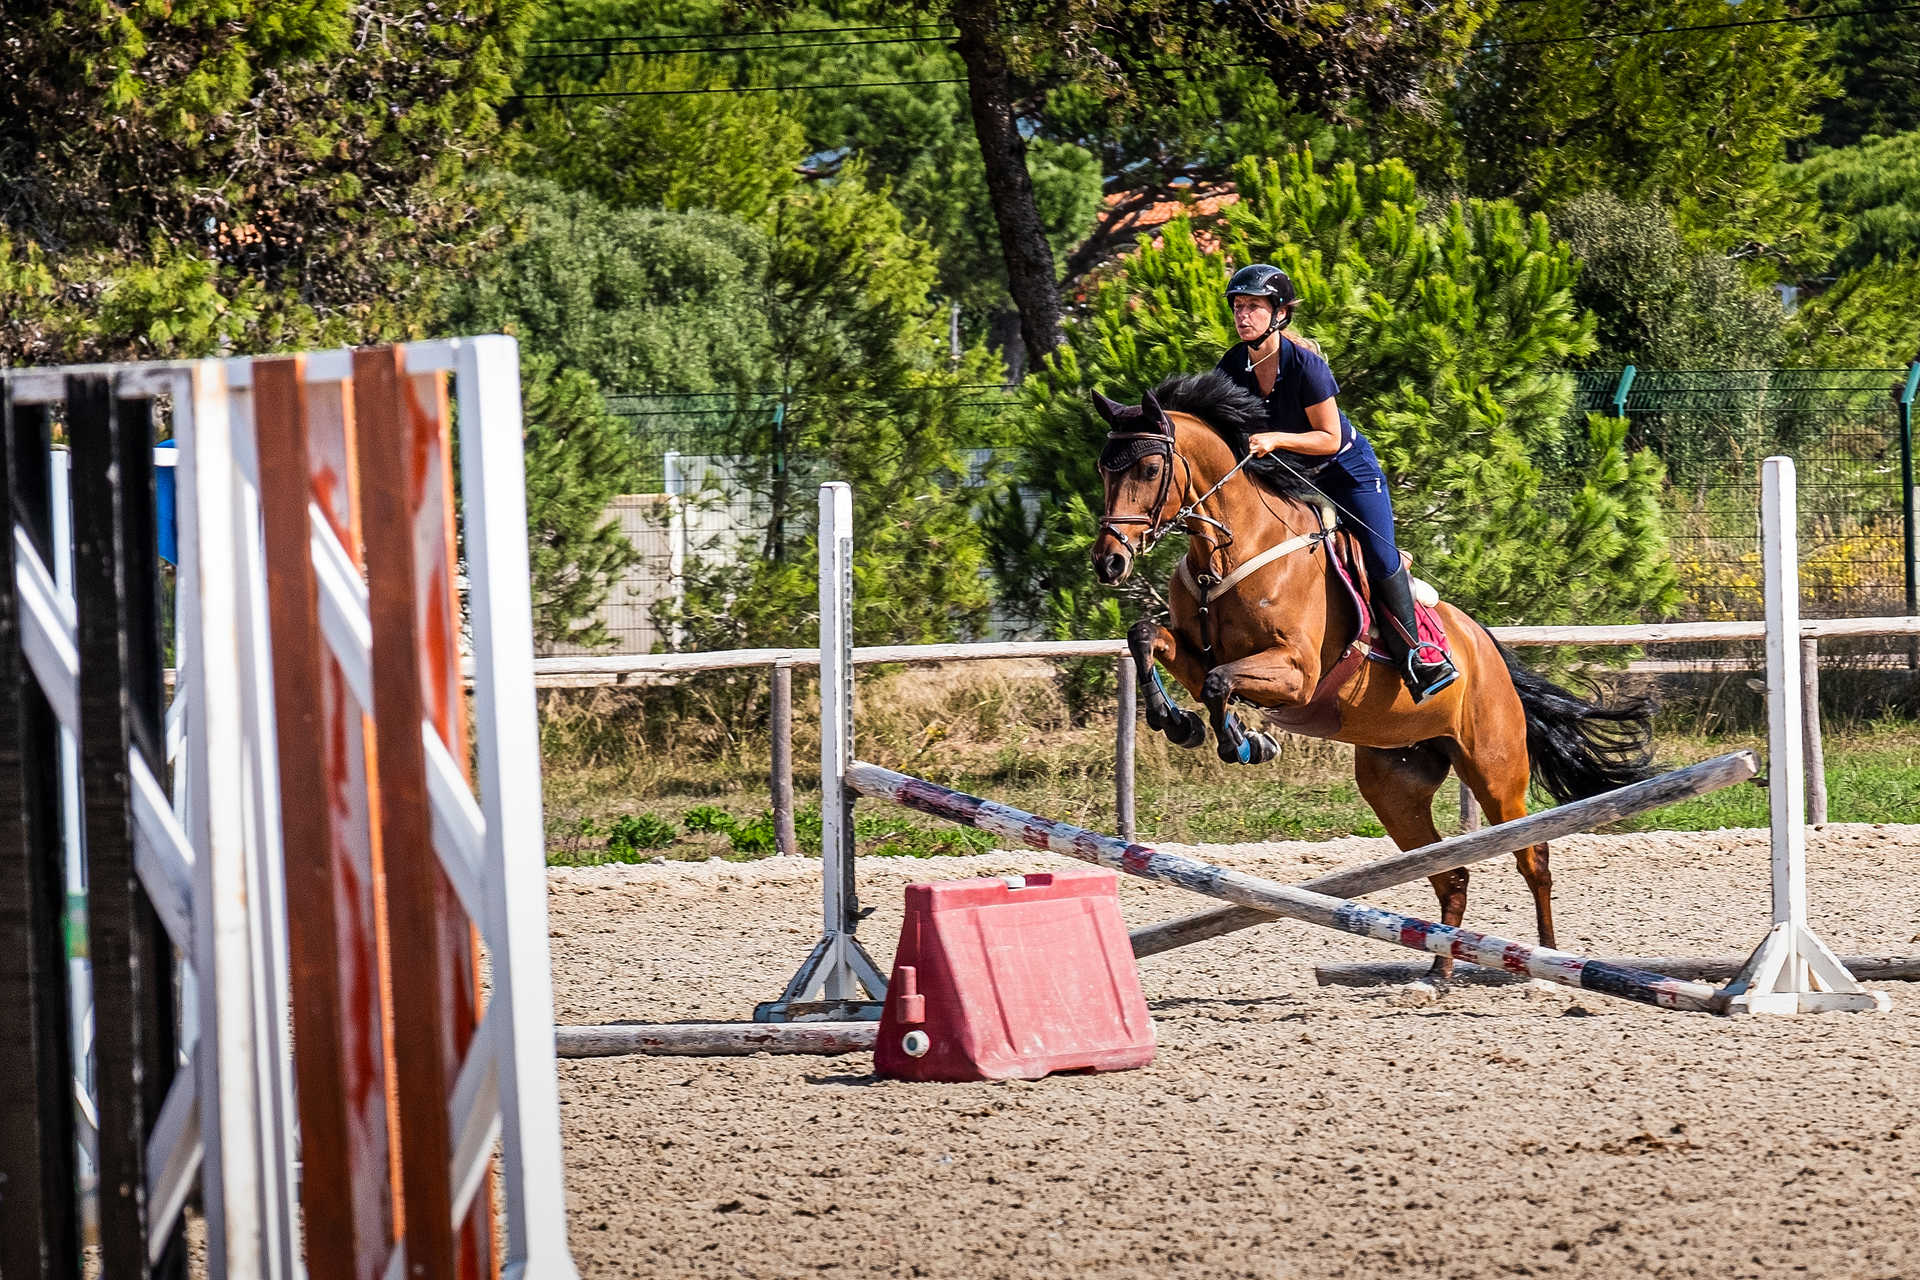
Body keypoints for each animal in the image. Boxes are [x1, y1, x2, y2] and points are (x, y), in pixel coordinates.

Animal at [1090, 376, 1658, 990]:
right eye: (1102, 468)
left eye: (1150, 469)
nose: (1108, 562)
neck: (1232, 548)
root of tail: (1488, 650)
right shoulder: (1196, 652)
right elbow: (1147, 637)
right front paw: (1178, 723)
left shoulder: (1296, 673)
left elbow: (1220, 684)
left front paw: (1246, 741)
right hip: (1394, 784)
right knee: (1450, 872)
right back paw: (1436, 973)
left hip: (1496, 770)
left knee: (1533, 859)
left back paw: (1547, 965)